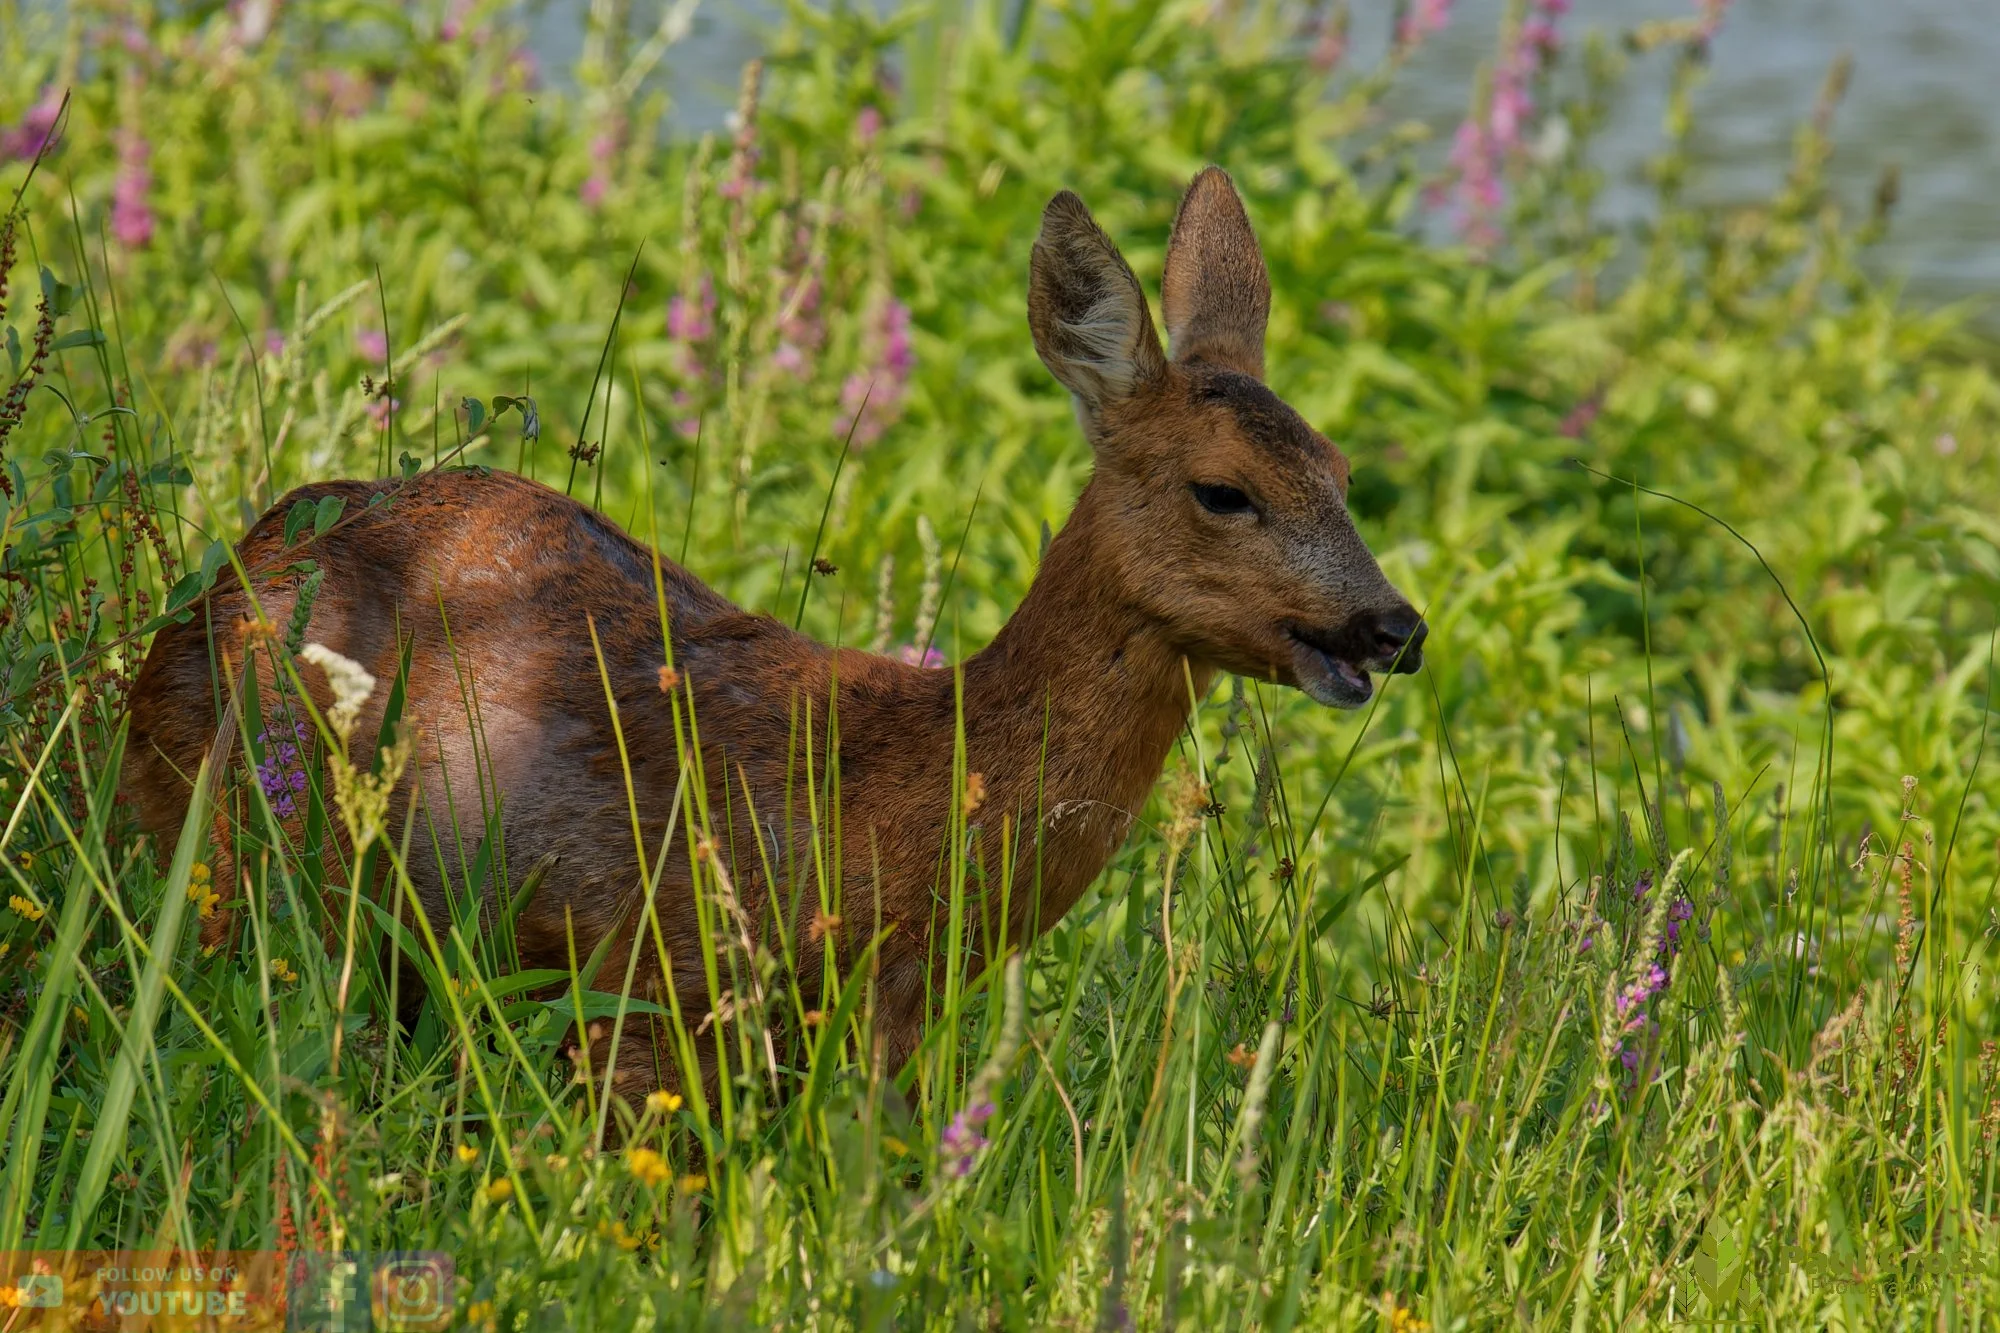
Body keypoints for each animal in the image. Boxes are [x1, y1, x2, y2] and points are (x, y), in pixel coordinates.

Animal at [122, 168, 1425, 1104]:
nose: (1392, 625)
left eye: (1339, 469)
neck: (889, 805)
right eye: (1223, 491)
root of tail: (218, 576)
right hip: (234, 847)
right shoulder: (652, 983)